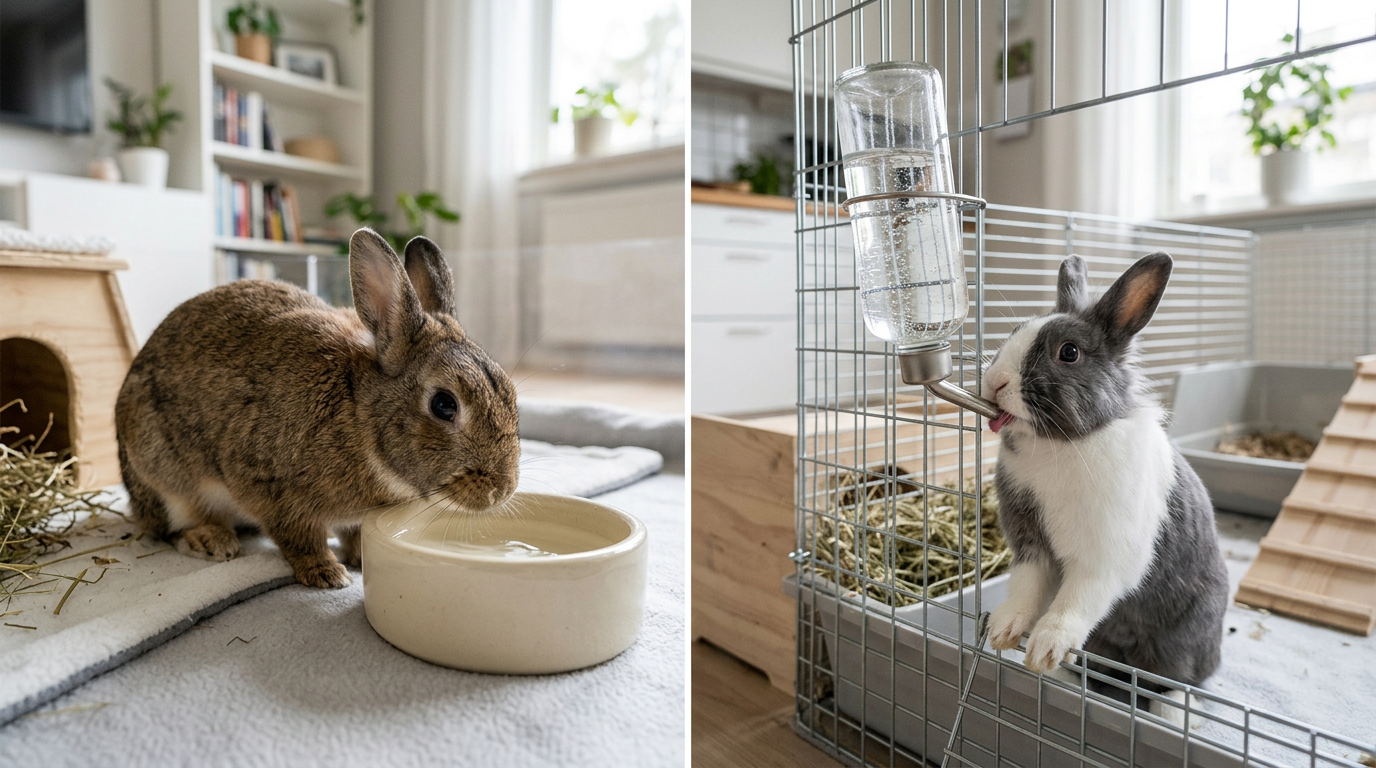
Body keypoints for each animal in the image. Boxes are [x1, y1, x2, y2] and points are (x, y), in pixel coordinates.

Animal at [115, 229, 521, 588]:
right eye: (444, 405)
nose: (502, 490)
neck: (358, 414)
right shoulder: (268, 485)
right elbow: (299, 536)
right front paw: (326, 573)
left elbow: (354, 533)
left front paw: (359, 559)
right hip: (164, 477)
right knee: (169, 528)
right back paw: (212, 541)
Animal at [980, 252, 1229, 715]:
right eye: (1016, 331)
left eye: (1069, 352)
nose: (994, 382)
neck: (1061, 443)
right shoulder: (1031, 548)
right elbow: (1025, 588)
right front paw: (1003, 631)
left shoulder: (1104, 560)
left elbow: (1077, 601)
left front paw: (1045, 647)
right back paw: (1061, 676)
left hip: (1183, 641)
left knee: (1179, 681)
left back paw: (1171, 711)